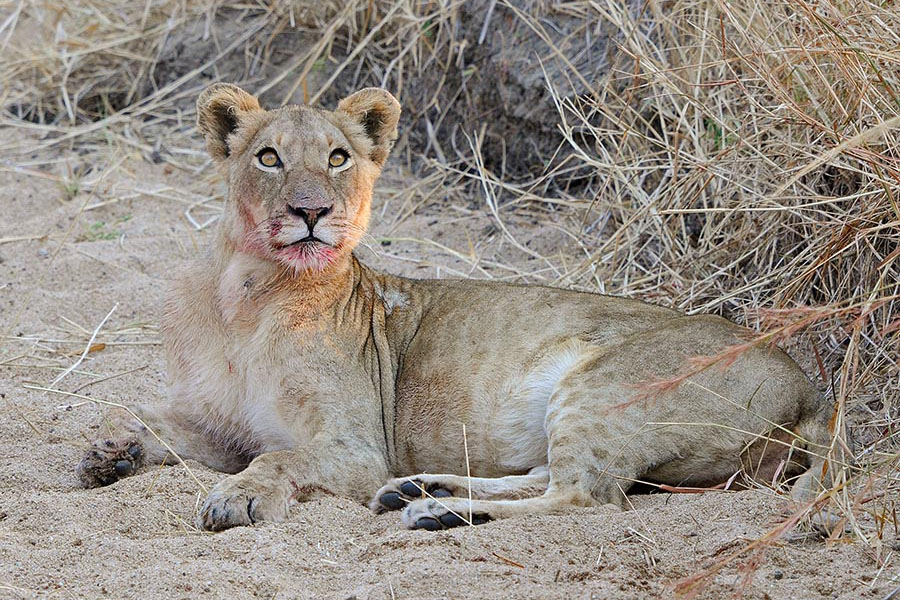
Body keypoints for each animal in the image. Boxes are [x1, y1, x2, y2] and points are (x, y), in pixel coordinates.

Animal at [77, 83, 835, 532]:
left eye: (338, 157)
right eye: (268, 157)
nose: (311, 211)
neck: (250, 294)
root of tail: (809, 388)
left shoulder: (356, 447)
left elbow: (280, 460)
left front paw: (235, 496)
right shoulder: (221, 423)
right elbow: (149, 417)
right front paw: (110, 451)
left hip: (605, 386)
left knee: (584, 496)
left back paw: (436, 514)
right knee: (545, 475)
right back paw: (418, 490)